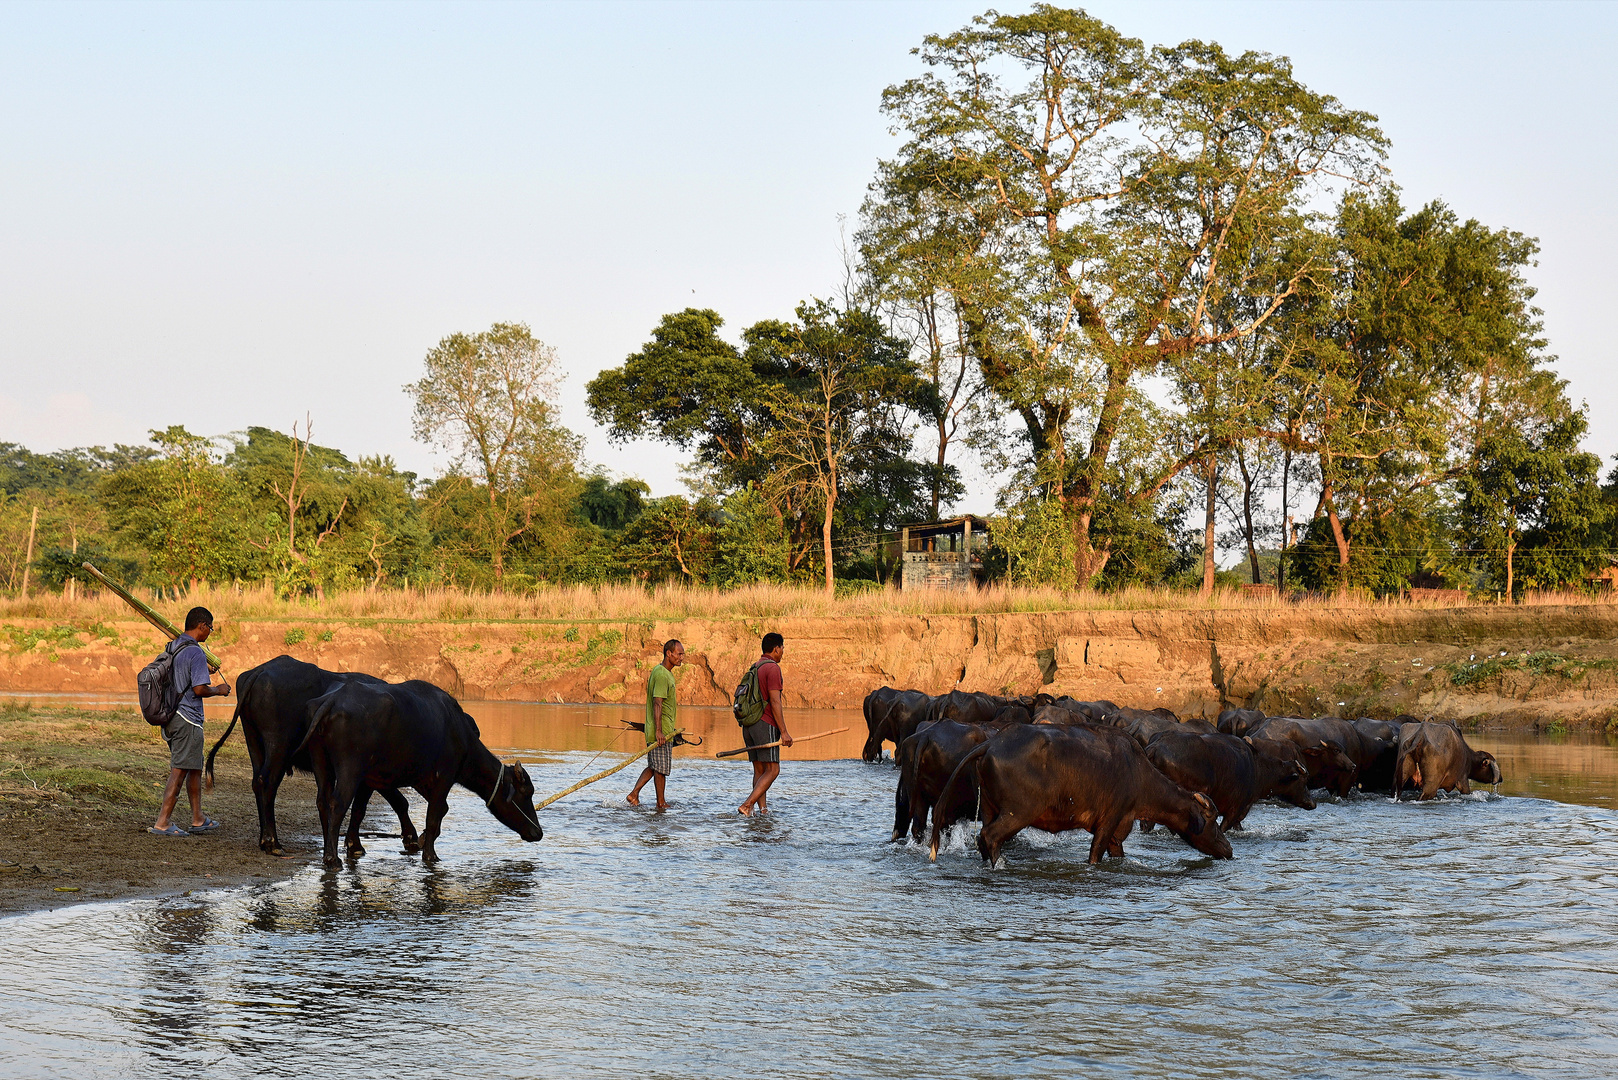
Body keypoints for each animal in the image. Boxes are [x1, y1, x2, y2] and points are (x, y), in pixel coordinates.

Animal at [205, 654, 420, 854]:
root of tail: (260, 671)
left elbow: (394, 800)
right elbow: (369, 806)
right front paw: (359, 845)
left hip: (253, 740)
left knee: (257, 782)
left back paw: (263, 839)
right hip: (278, 745)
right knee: (266, 782)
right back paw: (272, 843)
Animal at [304, 680, 550, 867]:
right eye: (527, 792)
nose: (537, 832)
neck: (460, 733)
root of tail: (332, 700)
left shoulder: (372, 780)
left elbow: (359, 811)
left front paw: (356, 846)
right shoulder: (444, 778)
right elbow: (433, 815)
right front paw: (430, 854)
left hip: (321, 764)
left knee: (322, 802)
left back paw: (327, 849)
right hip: (349, 769)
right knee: (337, 804)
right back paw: (332, 858)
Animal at [931, 722, 1229, 867]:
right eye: (1212, 823)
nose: (1228, 849)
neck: (1138, 774)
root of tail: (992, 743)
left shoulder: (1117, 832)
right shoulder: (1109, 822)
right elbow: (1095, 853)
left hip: (989, 808)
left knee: (984, 840)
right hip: (1017, 813)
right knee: (990, 837)